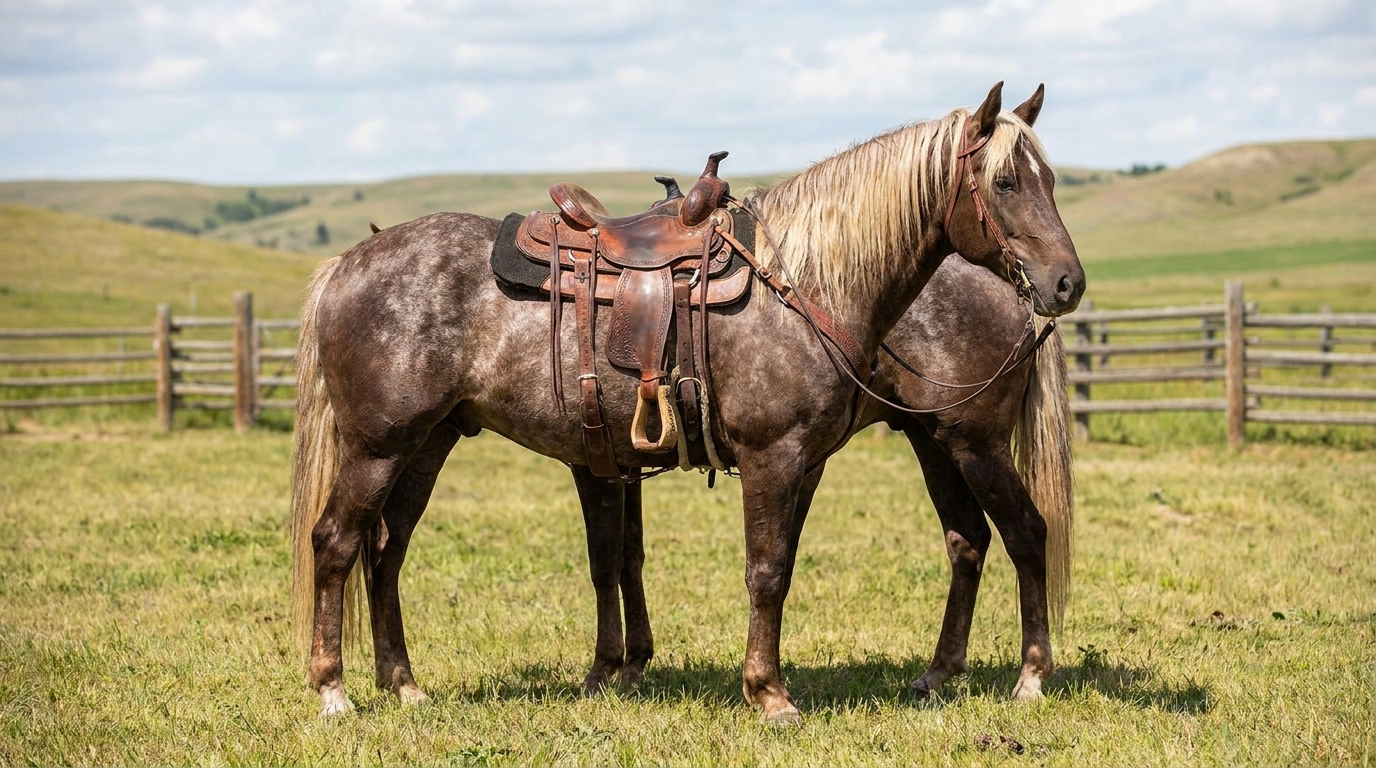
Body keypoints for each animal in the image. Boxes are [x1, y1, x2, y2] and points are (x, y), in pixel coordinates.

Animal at [570, 254, 1073, 705]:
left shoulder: (593, 464)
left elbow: (605, 561)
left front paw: (609, 671)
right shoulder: (628, 465)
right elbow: (630, 556)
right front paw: (634, 665)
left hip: (977, 445)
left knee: (1026, 532)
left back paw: (1030, 676)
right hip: (935, 441)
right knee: (968, 539)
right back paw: (938, 672)